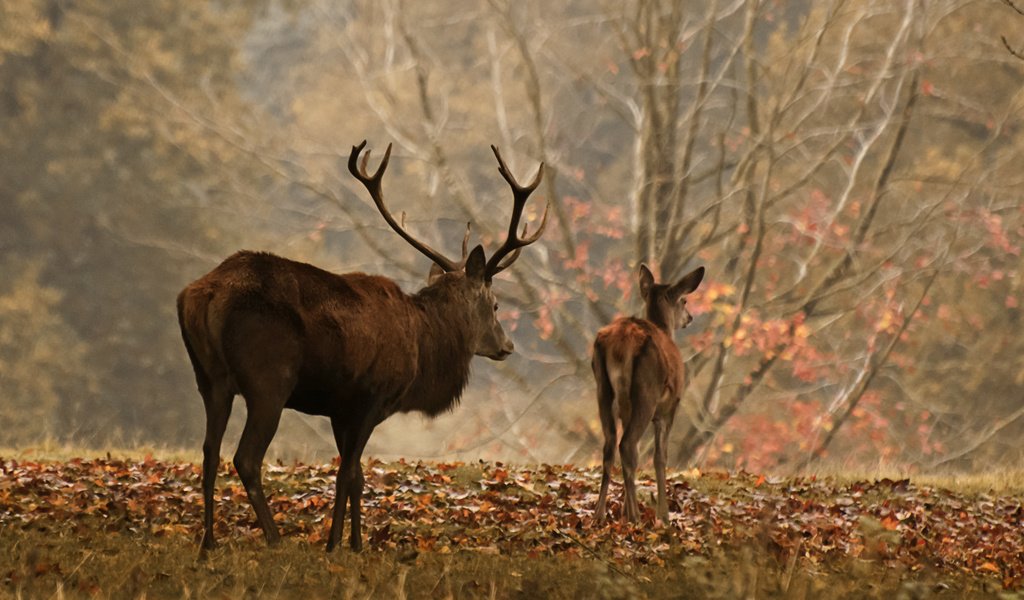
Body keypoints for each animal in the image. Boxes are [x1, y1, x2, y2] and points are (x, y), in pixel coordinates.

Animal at [593, 264, 704, 520]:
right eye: (684, 300)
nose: (690, 318)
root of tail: (622, 343)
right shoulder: (670, 406)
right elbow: (660, 457)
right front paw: (663, 515)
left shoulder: (626, 408)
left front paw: (624, 508)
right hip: (647, 391)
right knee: (627, 445)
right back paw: (635, 516)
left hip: (603, 388)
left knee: (611, 445)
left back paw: (600, 514)